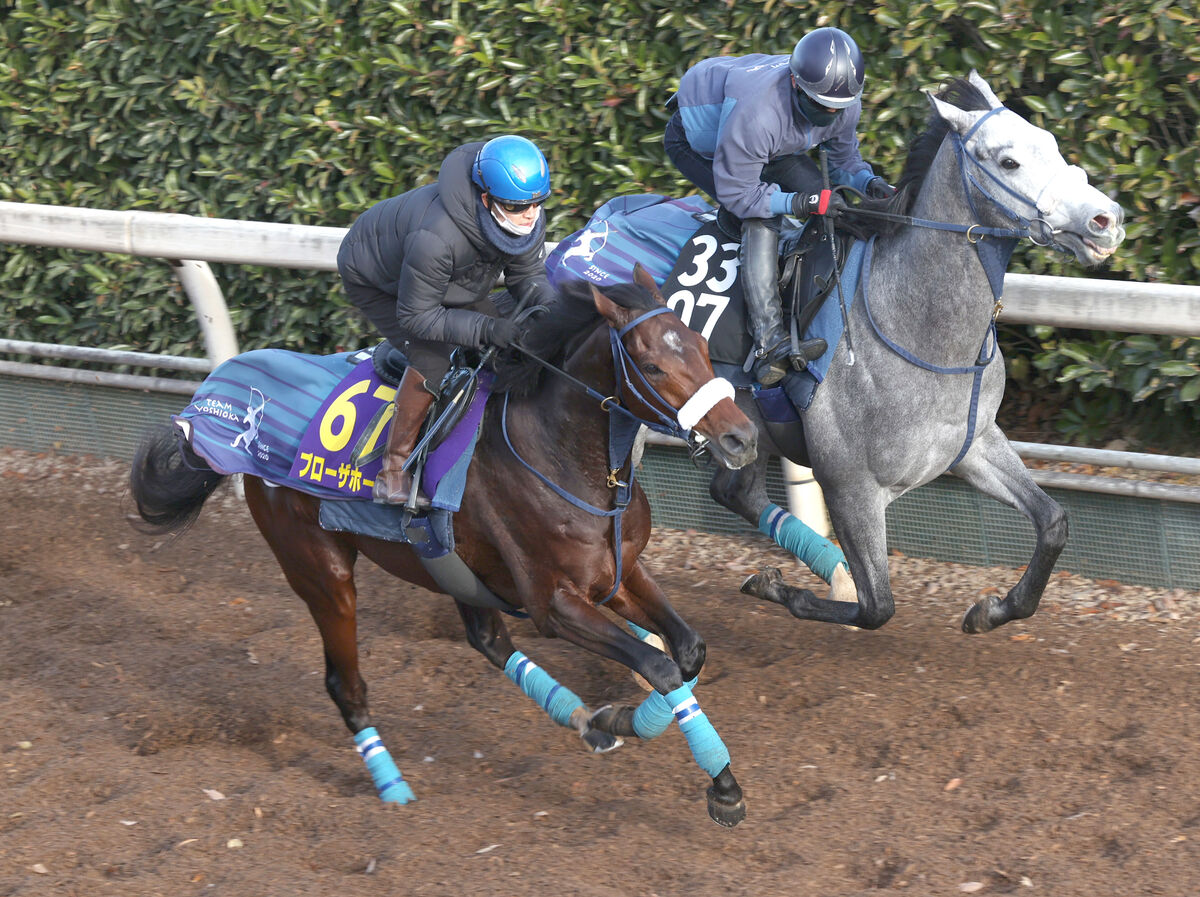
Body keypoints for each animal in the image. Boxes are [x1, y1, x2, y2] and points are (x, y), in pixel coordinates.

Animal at [126, 273, 753, 825]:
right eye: (652, 366)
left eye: (702, 346)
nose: (741, 438)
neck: (560, 453)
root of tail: (224, 402)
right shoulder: (554, 603)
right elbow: (659, 665)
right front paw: (713, 780)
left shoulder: (617, 573)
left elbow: (688, 651)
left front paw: (632, 722)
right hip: (320, 568)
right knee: (346, 683)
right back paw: (394, 788)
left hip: (451, 565)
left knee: (488, 640)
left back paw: (588, 722)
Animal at [710, 73, 1123, 633]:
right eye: (1008, 161)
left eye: (1053, 144)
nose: (1107, 219)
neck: (915, 327)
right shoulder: (850, 487)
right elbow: (876, 606)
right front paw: (785, 590)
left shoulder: (972, 444)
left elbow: (1054, 523)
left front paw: (991, 611)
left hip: (748, 429)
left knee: (734, 491)